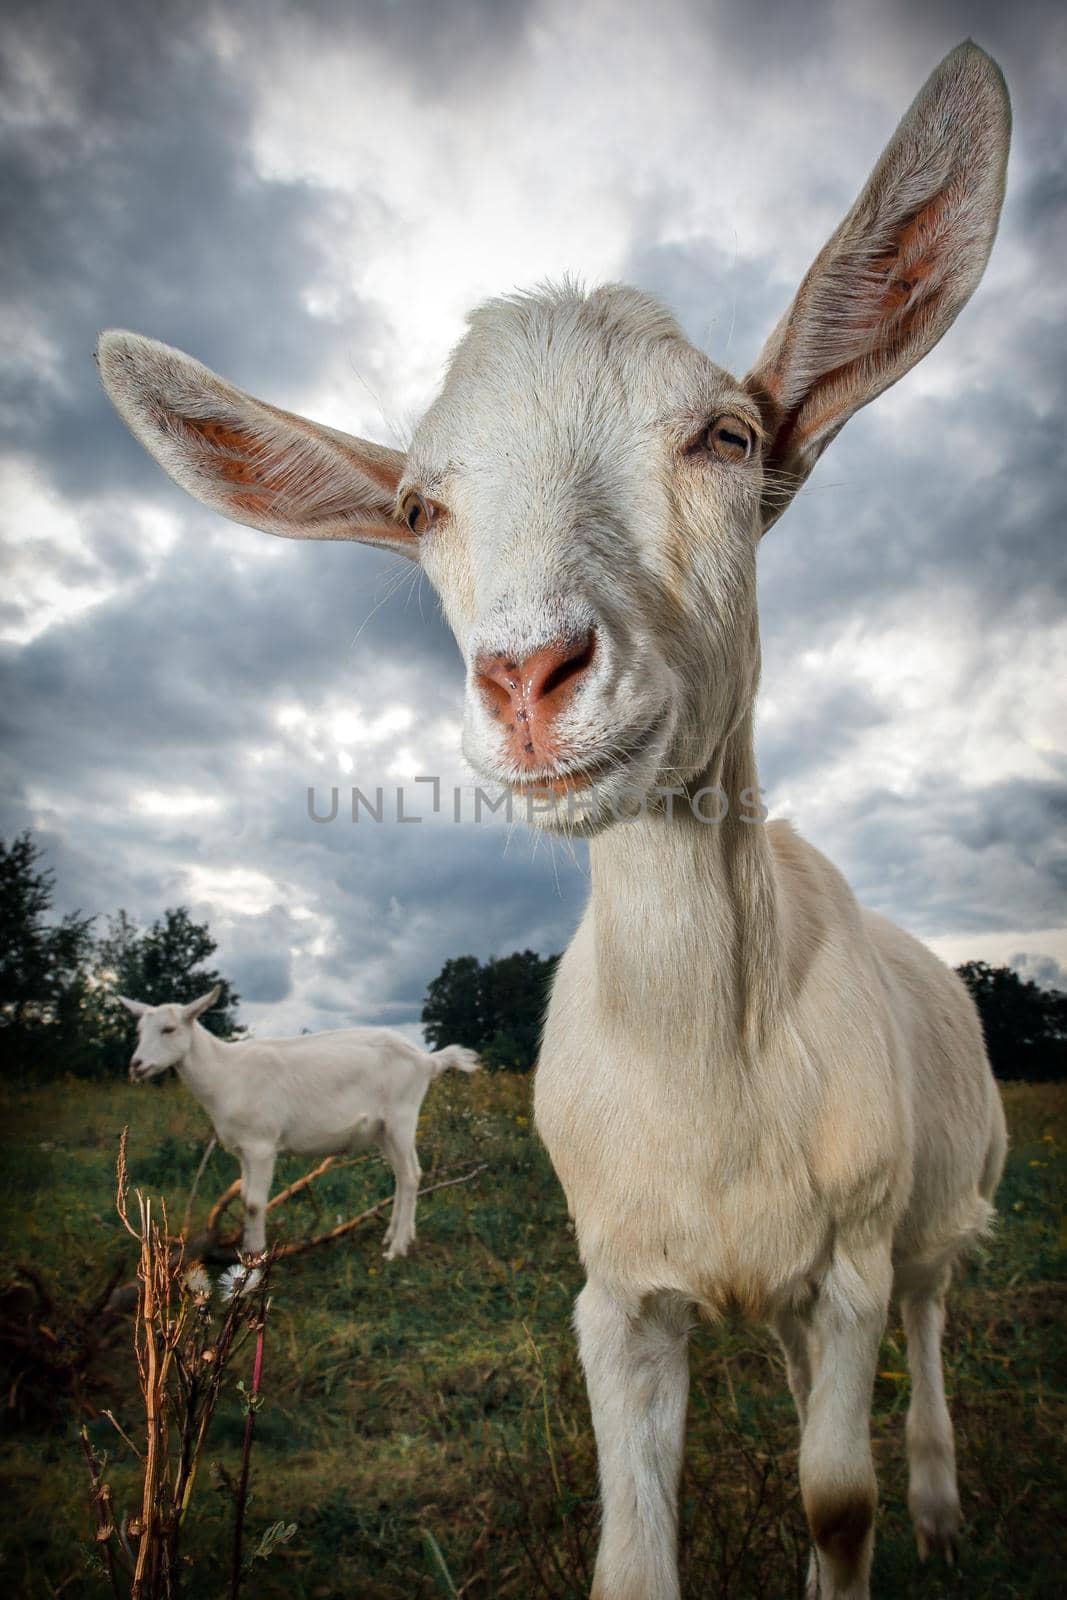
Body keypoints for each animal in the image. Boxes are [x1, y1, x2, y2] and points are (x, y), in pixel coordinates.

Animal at [119, 985, 479, 1260]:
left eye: (169, 1029)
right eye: (139, 1031)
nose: (136, 1065)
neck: (225, 1073)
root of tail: (427, 1060)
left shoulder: (262, 1144)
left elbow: (254, 1203)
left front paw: (254, 1263)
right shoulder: (243, 1148)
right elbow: (245, 1196)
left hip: (402, 1116)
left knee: (411, 1175)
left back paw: (397, 1249)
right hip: (383, 1131)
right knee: (402, 1176)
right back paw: (392, 1237)